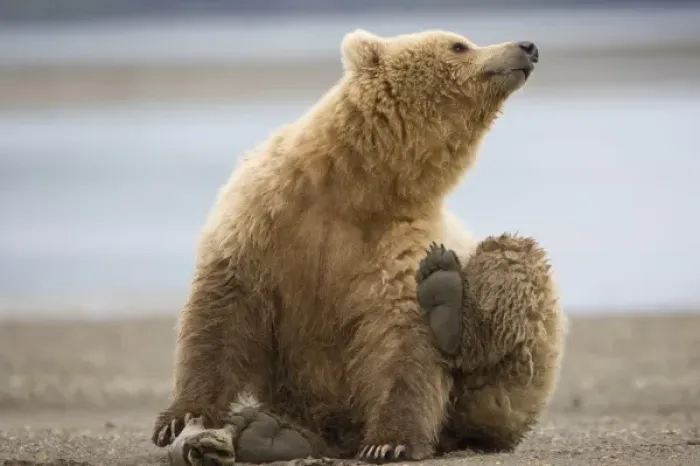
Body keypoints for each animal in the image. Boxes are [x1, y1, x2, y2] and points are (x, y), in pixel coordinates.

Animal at [152, 27, 547, 463]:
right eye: (459, 45)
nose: (527, 47)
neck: (355, 187)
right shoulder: (263, 218)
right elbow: (222, 314)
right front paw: (180, 418)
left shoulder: (398, 245)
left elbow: (401, 342)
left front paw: (390, 441)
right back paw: (268, 433)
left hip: (507, 388)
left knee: (514, 259)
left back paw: (448, 306)